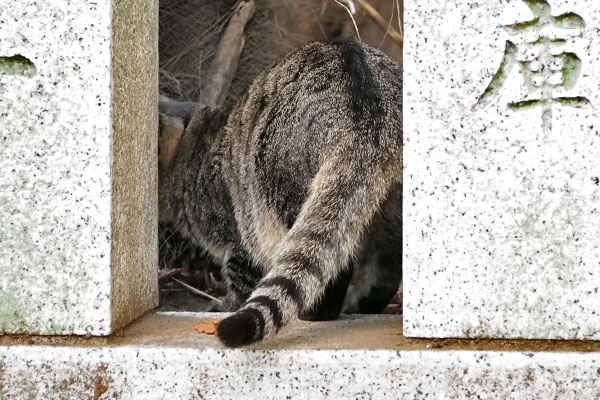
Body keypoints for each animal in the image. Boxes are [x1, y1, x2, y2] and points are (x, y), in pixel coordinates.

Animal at [159, 39, 404, 348]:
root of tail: (371, 112)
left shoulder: (238, 237)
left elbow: (241, 280)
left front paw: (225, 305)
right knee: (388, 263)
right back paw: (366, 302)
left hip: (287, 187)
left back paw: (318, 311)